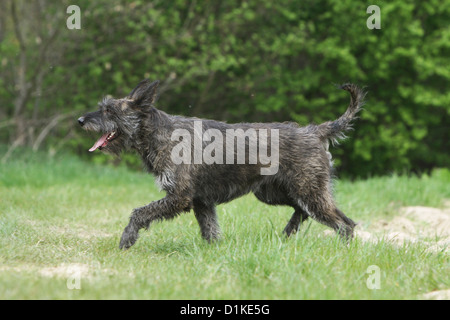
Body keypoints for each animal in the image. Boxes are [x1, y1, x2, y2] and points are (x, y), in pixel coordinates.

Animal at [78, 79, 366, 249]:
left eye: (109, 110)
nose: (80, 120)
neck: (160, 133)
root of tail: (315, 131)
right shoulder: (201, 202)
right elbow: (209, 230)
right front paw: (214, 252)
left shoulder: (179, 196)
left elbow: (139, 212)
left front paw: (127, 238)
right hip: (275, 193)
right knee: (303, 212)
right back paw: (286, 234)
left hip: (310, 192)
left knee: (344, 224)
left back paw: (343, 251)